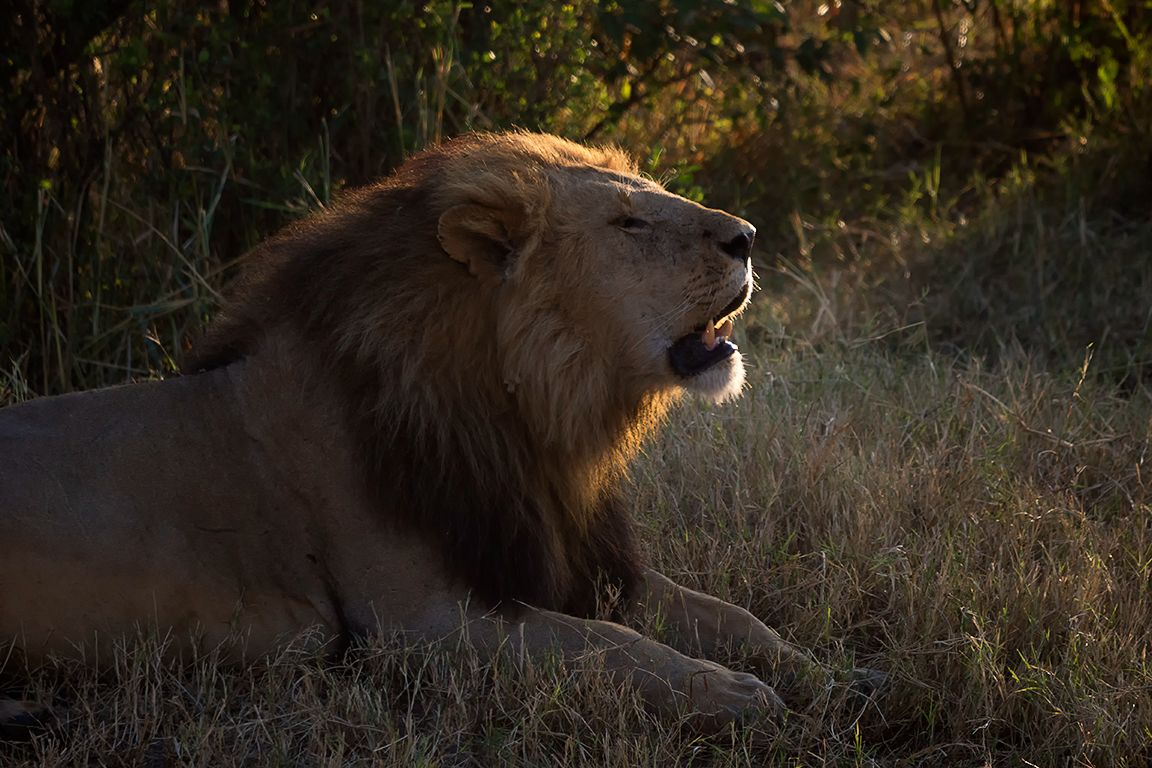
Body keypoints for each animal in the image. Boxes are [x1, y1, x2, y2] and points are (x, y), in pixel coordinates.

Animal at [0, 131, 868, 734]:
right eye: (628, 221)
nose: (747, 236)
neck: (531, 422)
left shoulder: (566, 555)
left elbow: (731, 616)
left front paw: (830, 675)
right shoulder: (414, 623)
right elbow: (608, 644)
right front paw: (732, 693)